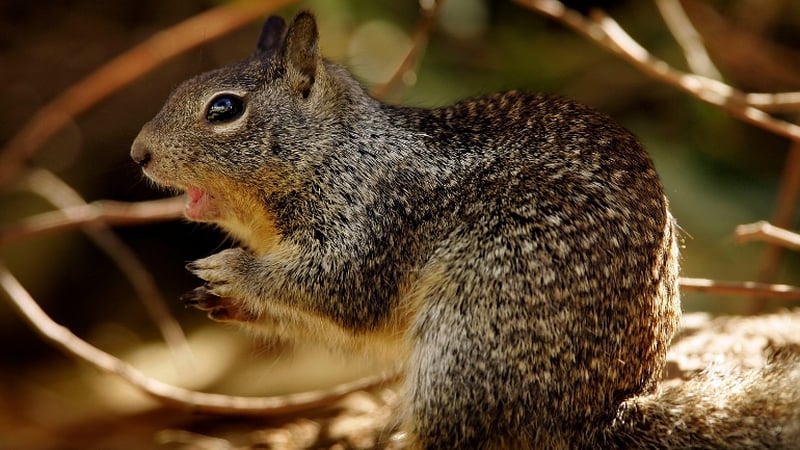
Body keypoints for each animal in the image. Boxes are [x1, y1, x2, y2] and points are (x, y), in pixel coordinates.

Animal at [131, 11, 800, 449]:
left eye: (225, 108)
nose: (138, 153)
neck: (337, 152)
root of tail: (597, 416)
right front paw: (219, 298)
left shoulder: (375, 222)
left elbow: (336, 289)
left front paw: (230, 270)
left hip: (468, 341)